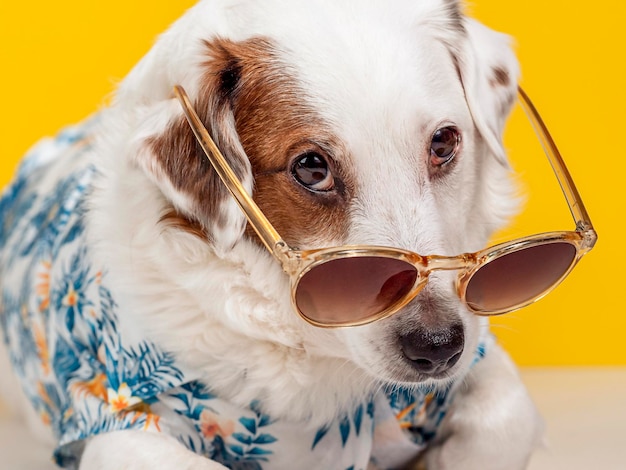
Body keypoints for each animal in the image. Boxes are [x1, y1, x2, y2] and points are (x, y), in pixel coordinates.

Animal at [0, 0, 540, 468]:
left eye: (444, 143)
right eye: (311, 167)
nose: (438, 345)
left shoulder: (479, 360)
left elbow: (505, 417)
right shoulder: (118, 423)